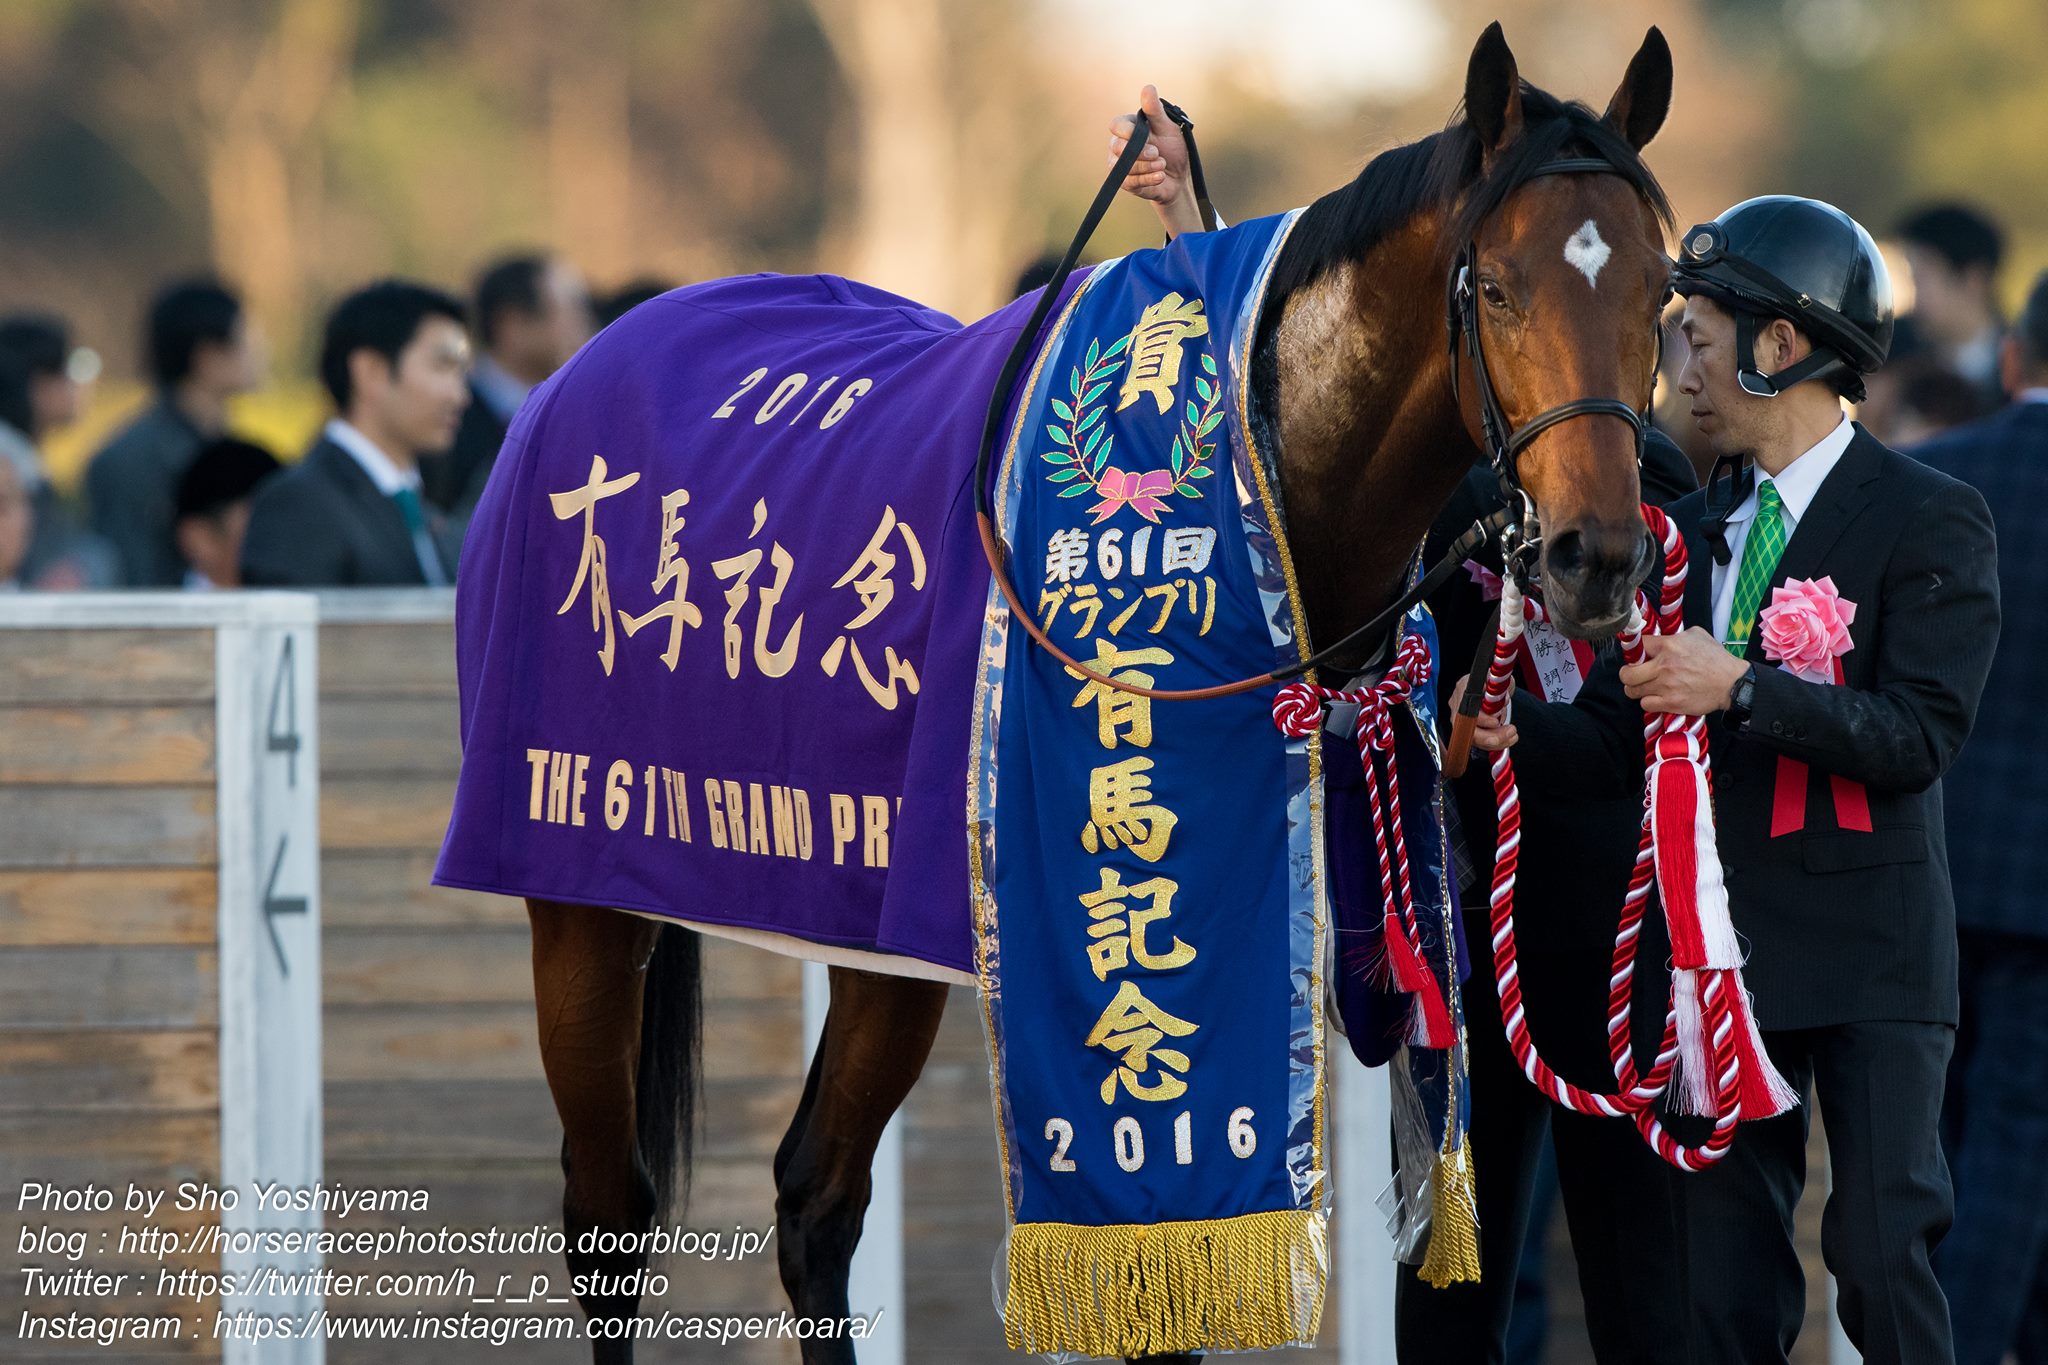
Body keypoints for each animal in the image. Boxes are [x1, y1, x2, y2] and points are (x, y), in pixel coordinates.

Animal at [520, 24, 1671, 1365]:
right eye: (1493, 287)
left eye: (1657, 291)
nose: (1594, 557)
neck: (1255, 500)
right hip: (578, 890)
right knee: (612, 1210)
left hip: (872, 932)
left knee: (812, 1199)